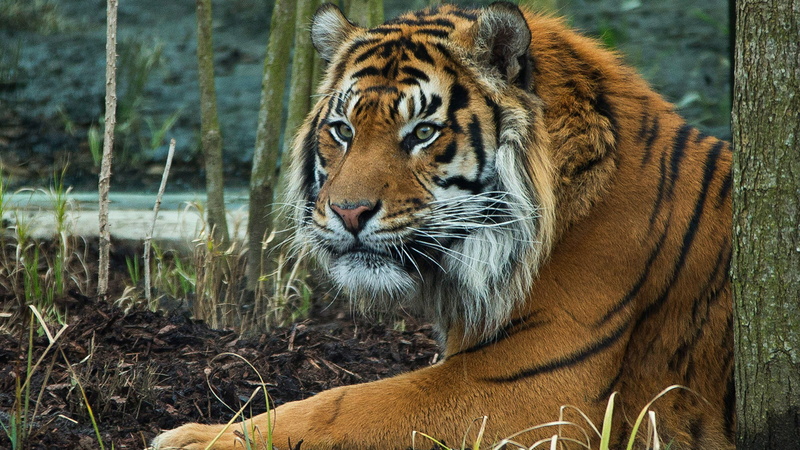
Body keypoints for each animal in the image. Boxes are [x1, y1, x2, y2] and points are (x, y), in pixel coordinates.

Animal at [153, 2, 734, 449]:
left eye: (422, 132)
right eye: (342, 130)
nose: (348, 211)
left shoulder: (529, 389)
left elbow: (342, 406)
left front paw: (195, 438)